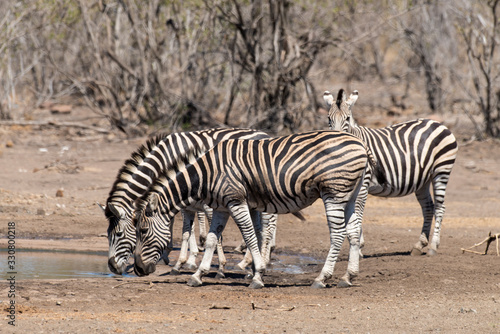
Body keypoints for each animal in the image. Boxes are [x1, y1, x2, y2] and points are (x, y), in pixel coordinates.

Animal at [104, 126, 274, 276]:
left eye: (118, 234)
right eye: (108, 234)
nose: (112, 267)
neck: (166, 158)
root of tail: (264, 133)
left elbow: (210, 232)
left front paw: (216, 265)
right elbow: (184, 228)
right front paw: (179, 257)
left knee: (268, 224)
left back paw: (260, 260)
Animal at [132, 129, 382, 288]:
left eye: (142, 232)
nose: (138, 270)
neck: (207, 173)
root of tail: (360, 143)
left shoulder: (236, 200)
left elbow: (250, 235)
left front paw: (257, 274)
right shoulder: (222, 207)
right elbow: (212, 240)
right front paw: (198, 275)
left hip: (334, 191)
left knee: (338, 234)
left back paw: (322, 278)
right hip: (351, 194)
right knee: (352, 232)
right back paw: (348, 277)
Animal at [324, 88, 458, 256]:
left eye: (347, 118)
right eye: (329, 119)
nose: (335, 142)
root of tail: (438, 124)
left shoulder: (363, 186)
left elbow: (358, 214)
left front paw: (359, 248)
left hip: (442, 170)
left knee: (440, 207)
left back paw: (433, 247)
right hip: (423, 179)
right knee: (428, 207)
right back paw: (419, 245)